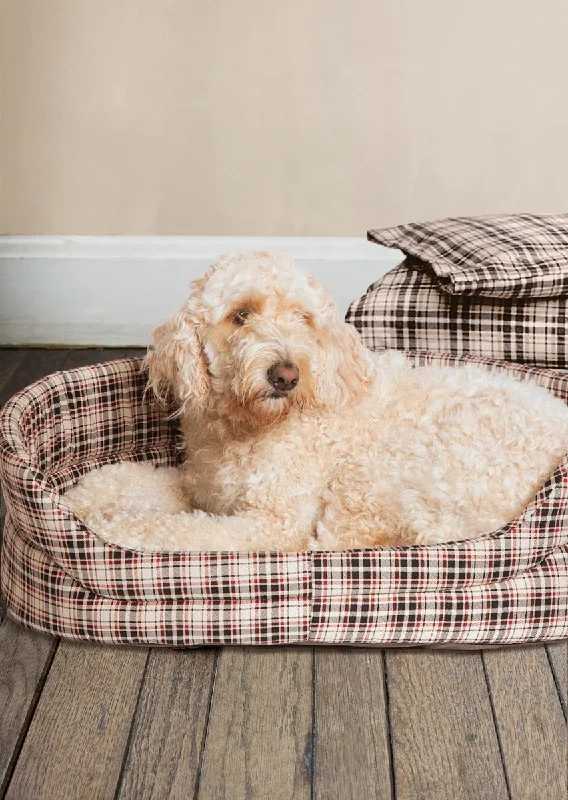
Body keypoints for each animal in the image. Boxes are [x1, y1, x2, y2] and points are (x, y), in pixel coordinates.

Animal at [63, 250, 568, 552]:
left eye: (303, 319)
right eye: (240, 315)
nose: (286, 375)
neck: (248, 428)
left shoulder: (271, 523)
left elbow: (173, 529)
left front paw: (110, 526)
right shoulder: (199, 486)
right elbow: (130, 479)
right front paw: (82, 499)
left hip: (382, 471)